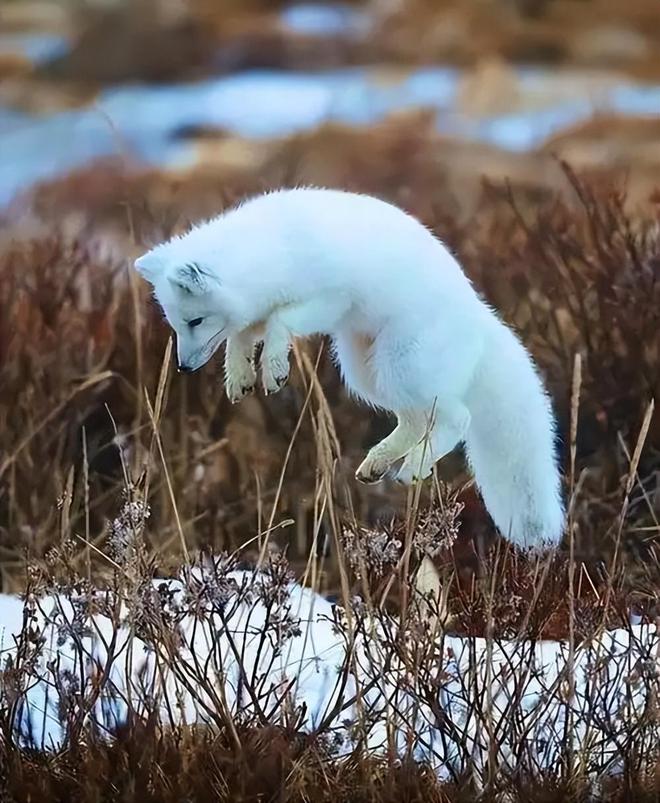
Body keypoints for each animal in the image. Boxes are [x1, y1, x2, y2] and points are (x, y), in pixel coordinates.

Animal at [135, 189, 568, 552]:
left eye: (195, 321)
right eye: (175, 324)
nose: (183, 367)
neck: (272, 252)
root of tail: (480, 318)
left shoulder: (327, 301)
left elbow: (278, 324)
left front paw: (273, 369)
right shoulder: (253, 313)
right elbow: (240, 338)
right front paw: (240, 377)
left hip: (401, 366)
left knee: (456, 418)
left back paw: (413, 467)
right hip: (366, 374)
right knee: (414, 420)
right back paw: (377, 464)